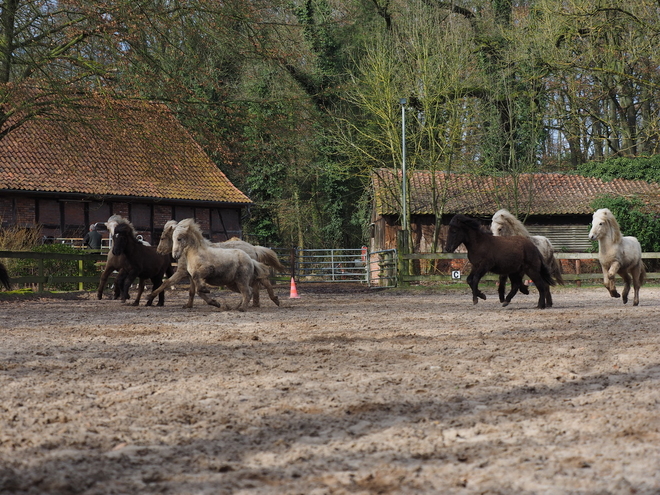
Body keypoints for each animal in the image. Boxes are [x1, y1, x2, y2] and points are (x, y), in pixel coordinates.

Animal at [147, 220, 284, 308]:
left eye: (163, 238)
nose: (159, 251)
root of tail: (253, 248)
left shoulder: (181, 273)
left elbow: (166, 283)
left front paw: (150, 297)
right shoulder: (190, 275)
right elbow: (192, 291)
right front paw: (189, 305)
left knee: (261, 283)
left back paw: (270, 300)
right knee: (255, 286)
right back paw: (255, 303)